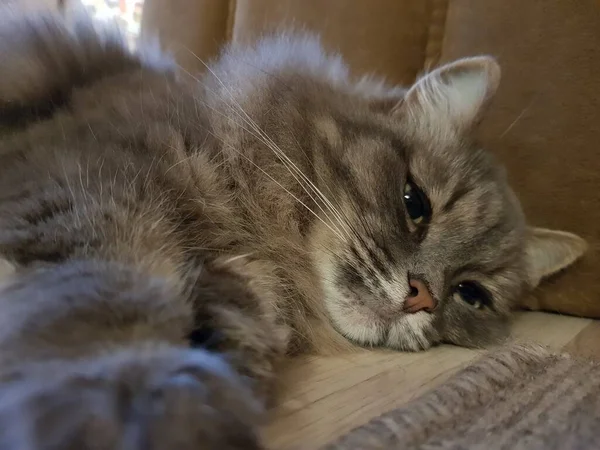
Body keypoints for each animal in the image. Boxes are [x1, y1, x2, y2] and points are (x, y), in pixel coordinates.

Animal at [0, 7, 584, 450]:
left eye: (470, 294)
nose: (421, 296)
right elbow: (105, 306)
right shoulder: (85, 193)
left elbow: (242, 339)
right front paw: (134, 410)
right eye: (414, 202)